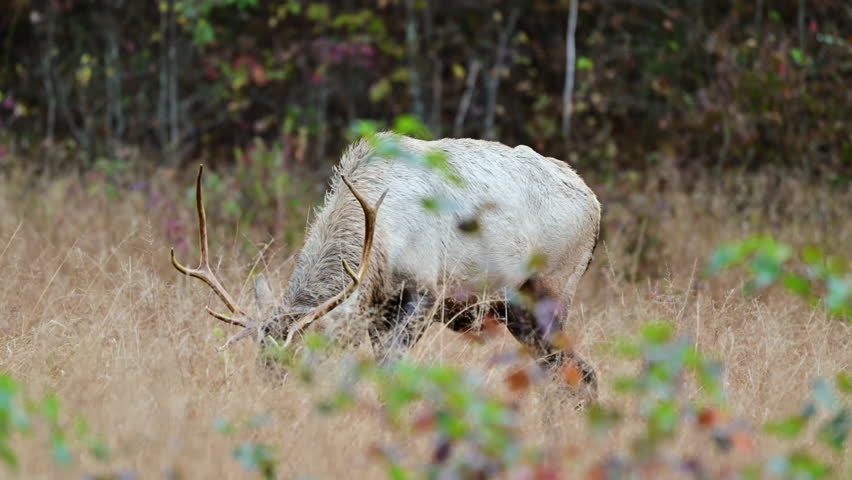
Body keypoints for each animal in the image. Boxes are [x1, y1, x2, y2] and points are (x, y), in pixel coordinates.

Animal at [171, 133, 601, 401]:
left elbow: (393, 374)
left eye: (307, 358)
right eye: (262, 361)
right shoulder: (378, 310)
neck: (382, 248)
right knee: (571, 372)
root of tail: (594, 202)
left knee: (576, 372)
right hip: (517, 312)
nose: (276, 398)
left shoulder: (425, 291)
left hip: (552, 288)